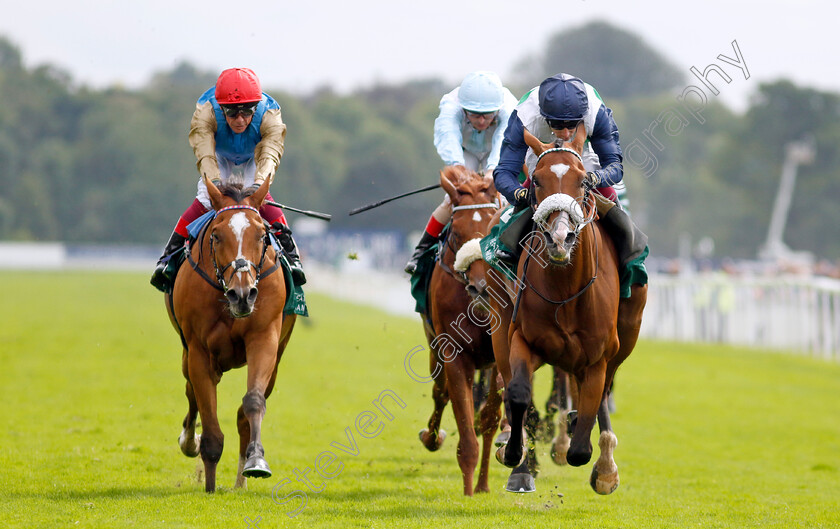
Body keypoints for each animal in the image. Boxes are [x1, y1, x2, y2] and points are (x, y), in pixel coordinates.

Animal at [164, 175, 296, 492]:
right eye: (216, 235)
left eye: (262, 235)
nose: (243, 294)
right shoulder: (198, 350)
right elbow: (209, 422)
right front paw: (209, 484)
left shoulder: (265, 338)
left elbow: (253, 401)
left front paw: (256, 461)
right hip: (189, 355)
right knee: (191, 392)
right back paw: (190, 442)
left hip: (277, 357)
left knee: (241, 413)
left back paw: (240, 480)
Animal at [416, 165, 502, 496]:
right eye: (456, 232)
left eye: (494, 228)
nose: (481, 287)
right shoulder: (453, 351)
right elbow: (463, 422)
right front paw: (467, 492)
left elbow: (489, 418)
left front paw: (482, 486)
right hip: (433, 344)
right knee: (440, 392)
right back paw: (431, 436)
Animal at [476, 125, 648, 496]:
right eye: (537, 181)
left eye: (583, 181)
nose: (560, 238)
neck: (566, 290)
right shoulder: (523, 339)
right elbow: (519, 394)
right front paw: (515, 458)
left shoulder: (599, 353)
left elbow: (584, 435)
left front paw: (597, 462)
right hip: (500, 325)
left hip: (627, 333)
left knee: (602, 390)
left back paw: (603, 462)